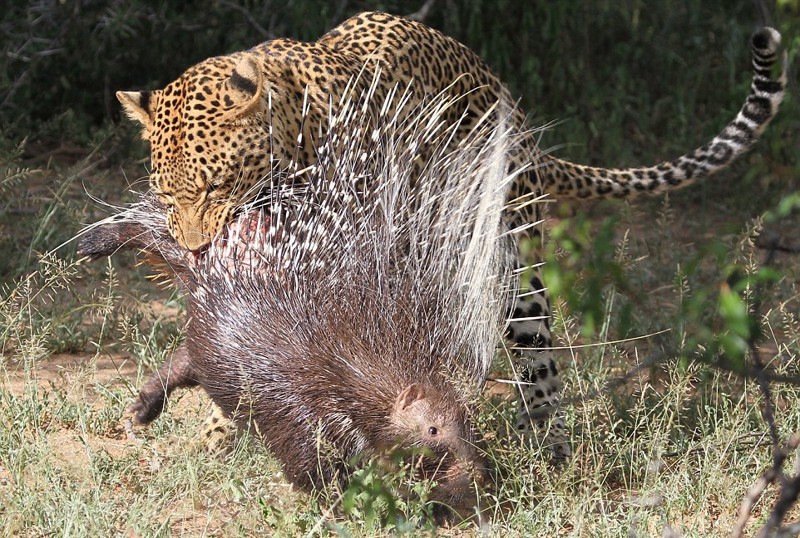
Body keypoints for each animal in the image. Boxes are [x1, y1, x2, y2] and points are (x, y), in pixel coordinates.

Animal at [114, 11, 788, 456]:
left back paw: (548, 450)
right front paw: (219, 422)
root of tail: (514, 110)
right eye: (169, 196)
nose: (197, 249)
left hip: (509, 258)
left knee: (536, 355)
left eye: (215, 186)